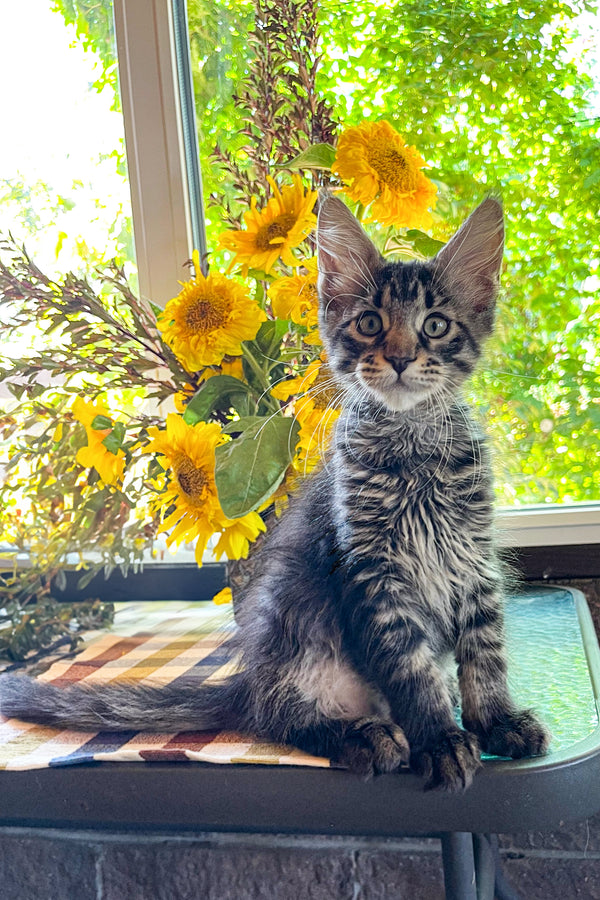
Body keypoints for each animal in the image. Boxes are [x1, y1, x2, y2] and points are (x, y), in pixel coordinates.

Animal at [0, 195, 548, 788]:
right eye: (370, 323)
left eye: (436, 325)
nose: (401, 358)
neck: (412, 448)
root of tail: (250, 678)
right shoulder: (373, 573)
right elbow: (410, 669)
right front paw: (441, 739)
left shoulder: (472, 558)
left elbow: (485, 652)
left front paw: (494, 721)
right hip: (297, 637)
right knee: (280, 715)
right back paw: (364, 735)